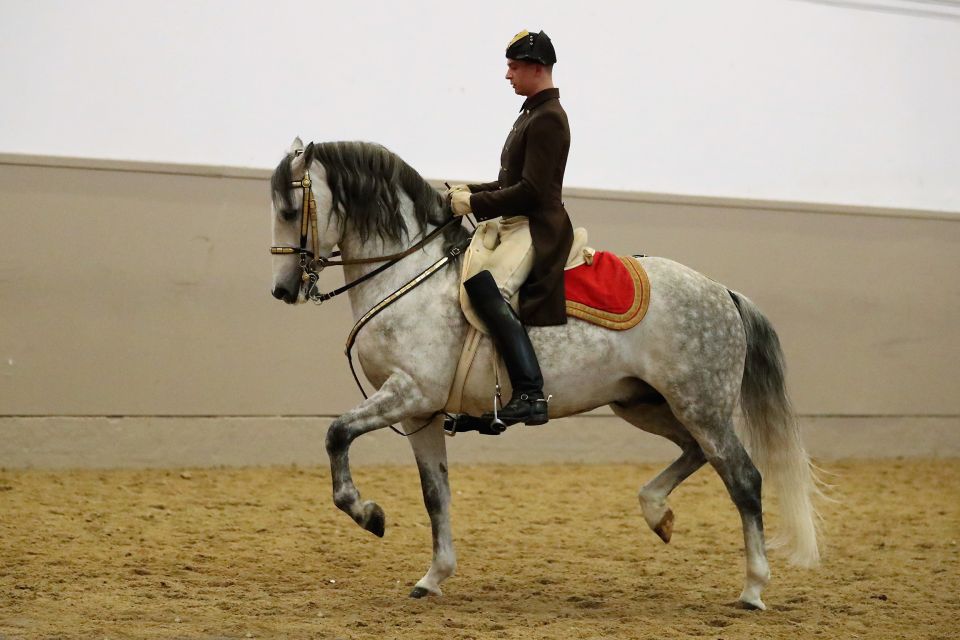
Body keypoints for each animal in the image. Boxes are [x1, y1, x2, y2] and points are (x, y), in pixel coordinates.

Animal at [266, 138, 820, 608]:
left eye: (290, 210)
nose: (282, 290)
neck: (409, 274)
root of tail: (721, 291)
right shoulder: (420, 412)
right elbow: (434, 493)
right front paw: (433, 577)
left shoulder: (407, 393)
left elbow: (337, 434)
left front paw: (369, 515)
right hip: (644, 404)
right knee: (696, 453)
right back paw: (657, 513)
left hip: (700, 405)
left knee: (743, 478)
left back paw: (753, 589)